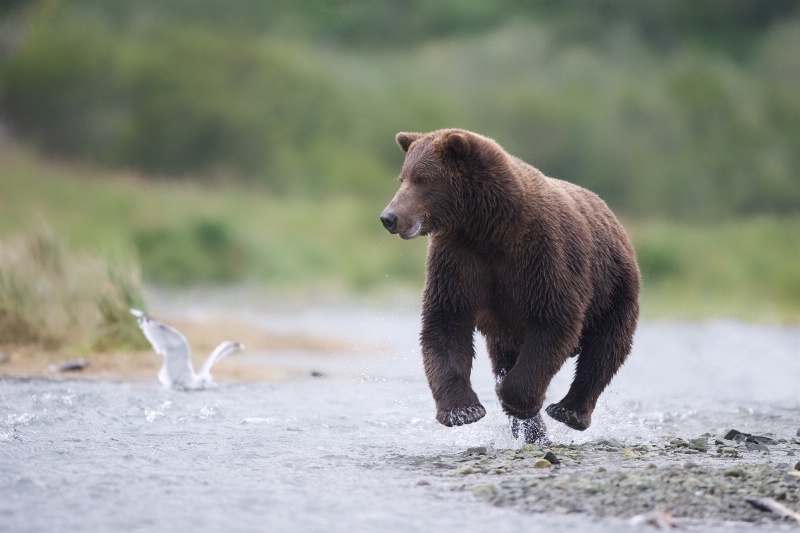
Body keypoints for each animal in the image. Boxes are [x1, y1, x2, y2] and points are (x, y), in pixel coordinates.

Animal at [378, 128, 640, 440]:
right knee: (505, 356)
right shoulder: (459, 259)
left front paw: (515, 401)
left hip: (613, 288)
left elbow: (554, 321)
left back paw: (569, 411)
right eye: (402, 178)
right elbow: (447, 321)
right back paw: (534, 431)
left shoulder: (543, 256)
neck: (489, 228)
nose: (389, 217)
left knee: (605, 348)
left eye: (422, 179)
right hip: (506, 328)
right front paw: (463, 410)